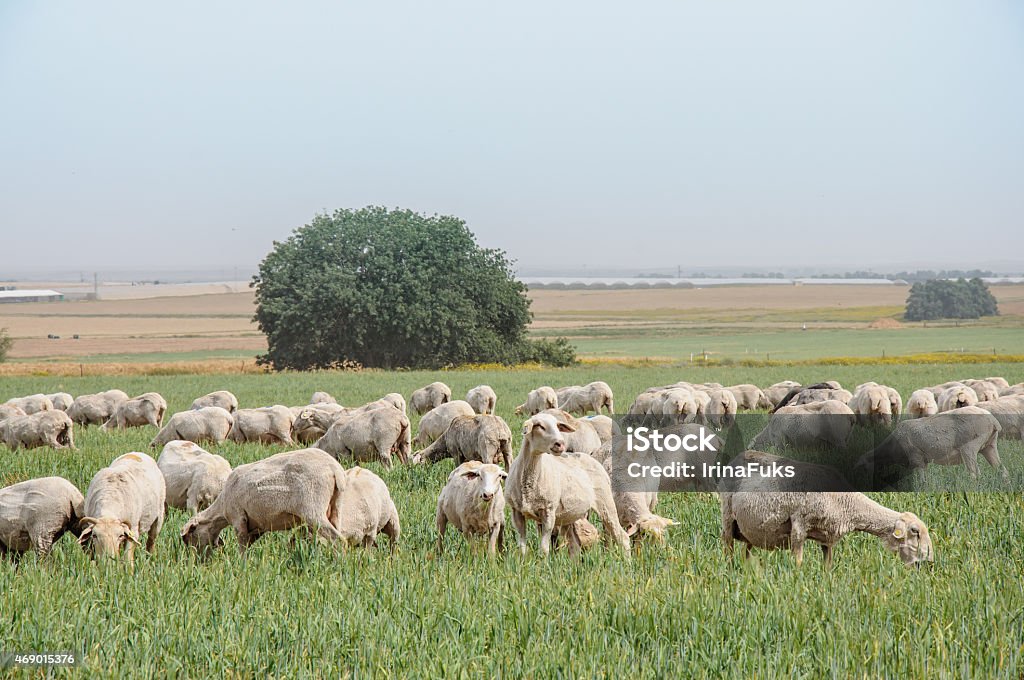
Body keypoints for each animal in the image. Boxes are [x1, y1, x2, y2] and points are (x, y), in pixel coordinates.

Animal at [181, 448, 348, 557]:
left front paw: (241, 565)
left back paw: (340, 564)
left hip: (313, 508)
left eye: (190, 536)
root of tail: (334, 468)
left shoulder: (238, 517)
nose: (197, 561)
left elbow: (242, 545)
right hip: (336, 505)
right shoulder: (257, 526)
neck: (221, 509)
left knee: (339, 540)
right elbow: (248, 544)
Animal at [505, 411, 630, 557]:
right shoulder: (517, 513)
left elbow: (544, 550)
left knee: (622, 536)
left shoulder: (549, 512)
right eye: (539, 426)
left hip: (605, 502)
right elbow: (522, 549)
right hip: (571, 514)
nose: (560, 443)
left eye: (557, 426)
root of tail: (592, 458)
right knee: (575, 545)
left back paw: (627, 561)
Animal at [720, 450, 937, 569]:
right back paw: (730, 571)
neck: (846, 502)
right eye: (915, 531)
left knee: (746, 552)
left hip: (749, 527)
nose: (929, 562)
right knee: (727, 547)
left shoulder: (827, 536)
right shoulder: (799, 522)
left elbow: (828, 565)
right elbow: (798, 561)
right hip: (727, 514)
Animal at [856, 405, 1007, 481]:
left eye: (863, 468)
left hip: (969, 447)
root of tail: (993, 421)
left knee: (974, 474)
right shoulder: (923, 461)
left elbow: (922, 480)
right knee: (1002, 470)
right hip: (989, 446)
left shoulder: (917, 459)